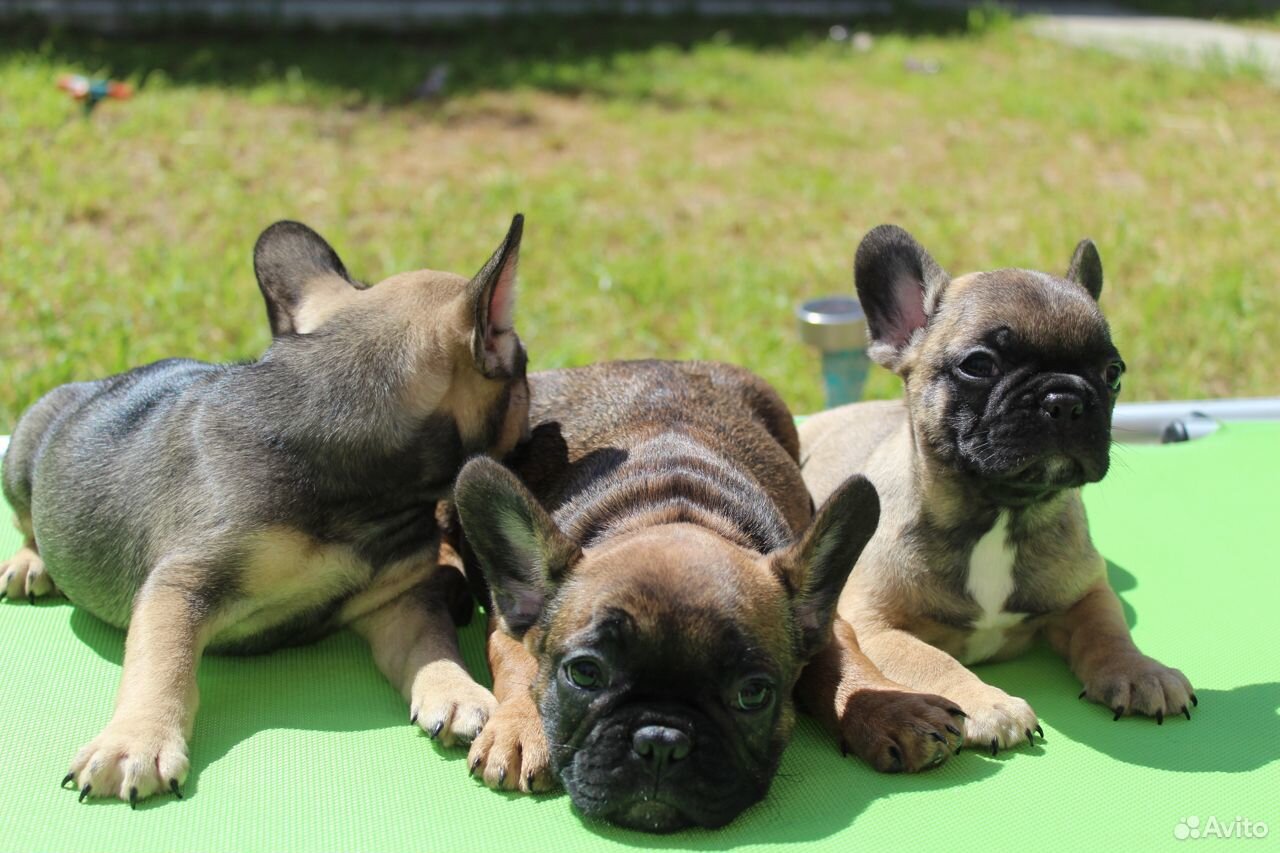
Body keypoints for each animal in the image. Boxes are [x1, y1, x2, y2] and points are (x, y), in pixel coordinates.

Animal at [0, 216, 529, 799]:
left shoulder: (398, 598)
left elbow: (432, 645)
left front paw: (457, 692)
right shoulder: (183, 584)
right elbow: (162, 665)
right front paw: (134, 741)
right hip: (23, 452)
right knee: (28, 523)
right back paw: (30, 563)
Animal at [448, 361, 962, 829]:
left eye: (754, 695)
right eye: (584, 674)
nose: (660, 741)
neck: (673, 509)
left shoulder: (826, 620)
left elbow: (843, 661)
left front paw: (889, 708)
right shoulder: (507, 622)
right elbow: (516, 663)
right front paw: (520, 726)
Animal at [803, 224, 1192, 753]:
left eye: (1113, 373)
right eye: (979, 365)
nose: (1064, 399)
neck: (999, 512)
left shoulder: (1086, 593)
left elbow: (1108, 631)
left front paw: (1139, 671)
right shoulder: (876, 625)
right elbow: (933, 659)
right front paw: (988, 705)